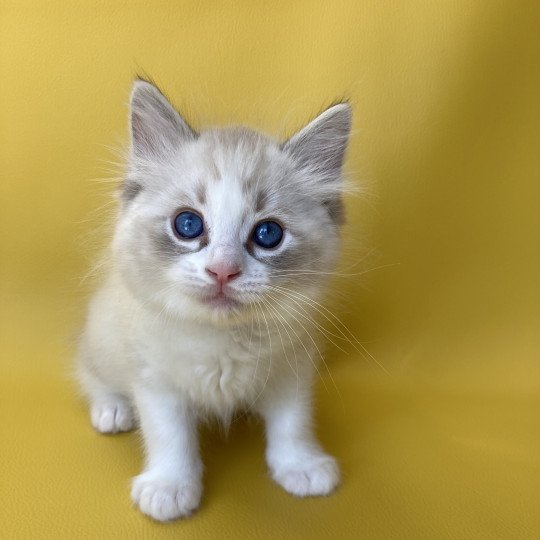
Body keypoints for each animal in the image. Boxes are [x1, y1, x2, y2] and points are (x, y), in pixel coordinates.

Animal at [77, 78, 354, 520]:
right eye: (188, 224)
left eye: (268, 234)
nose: (223, 271)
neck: (221, 340)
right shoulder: (155, 379)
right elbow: (170, 436)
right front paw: (170, 487)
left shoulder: (292, 371)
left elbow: (292, 424)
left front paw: (301, 466)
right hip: (101, 340)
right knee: (90, 376)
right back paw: (113, 410)